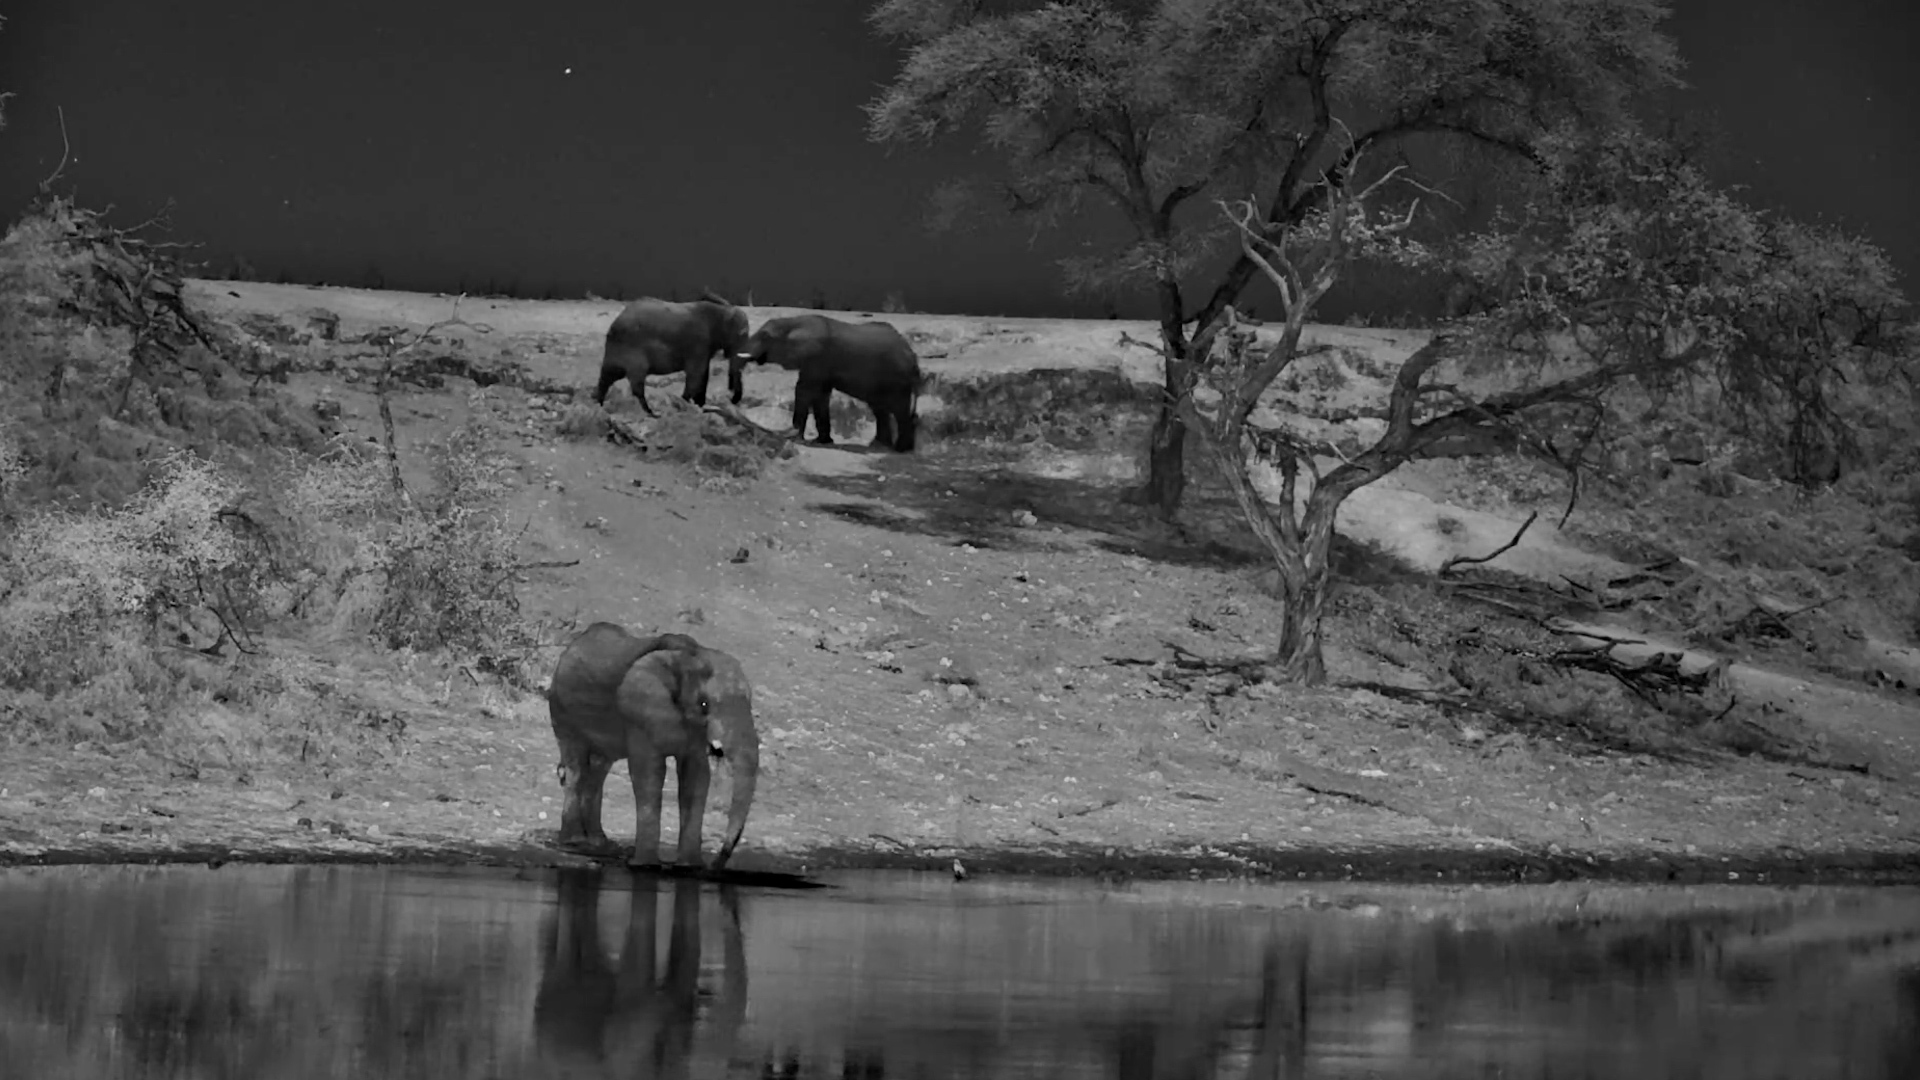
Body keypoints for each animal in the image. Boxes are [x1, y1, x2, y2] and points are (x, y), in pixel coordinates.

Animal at [545, 623, 759, 870]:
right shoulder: (639, 712)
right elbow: (649, 773)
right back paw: (574, 843)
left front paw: (689, 867)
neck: (690, 656)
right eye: (704, 704)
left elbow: (696, 777)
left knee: (599, 769)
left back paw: (600, 844)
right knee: (576, 767)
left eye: (749, 702)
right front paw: (646, 865)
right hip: (562, 710)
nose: (714, 865)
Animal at [595, 290, 750, 416]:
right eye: (742, 334)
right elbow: (696, 374)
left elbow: (703, 375)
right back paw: (651, 413)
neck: (721, 311)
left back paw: (598, 406)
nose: (732, 399)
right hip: (632, 350)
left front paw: (700, 407)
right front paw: (683, 404)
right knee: (636, 384)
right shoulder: (698, 343)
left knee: (606, 378)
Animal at [728, 314, 923, 452]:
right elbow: (820, 395)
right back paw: (879, 445)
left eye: (766, 336)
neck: (794, 321)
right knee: (880, 409)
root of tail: (914, 357)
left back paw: (900, 449)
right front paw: (822, 441)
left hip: (898, 380)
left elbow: (804, 390)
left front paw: (793, 436)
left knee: (899, 410)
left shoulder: (816, 356)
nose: (732, 399)